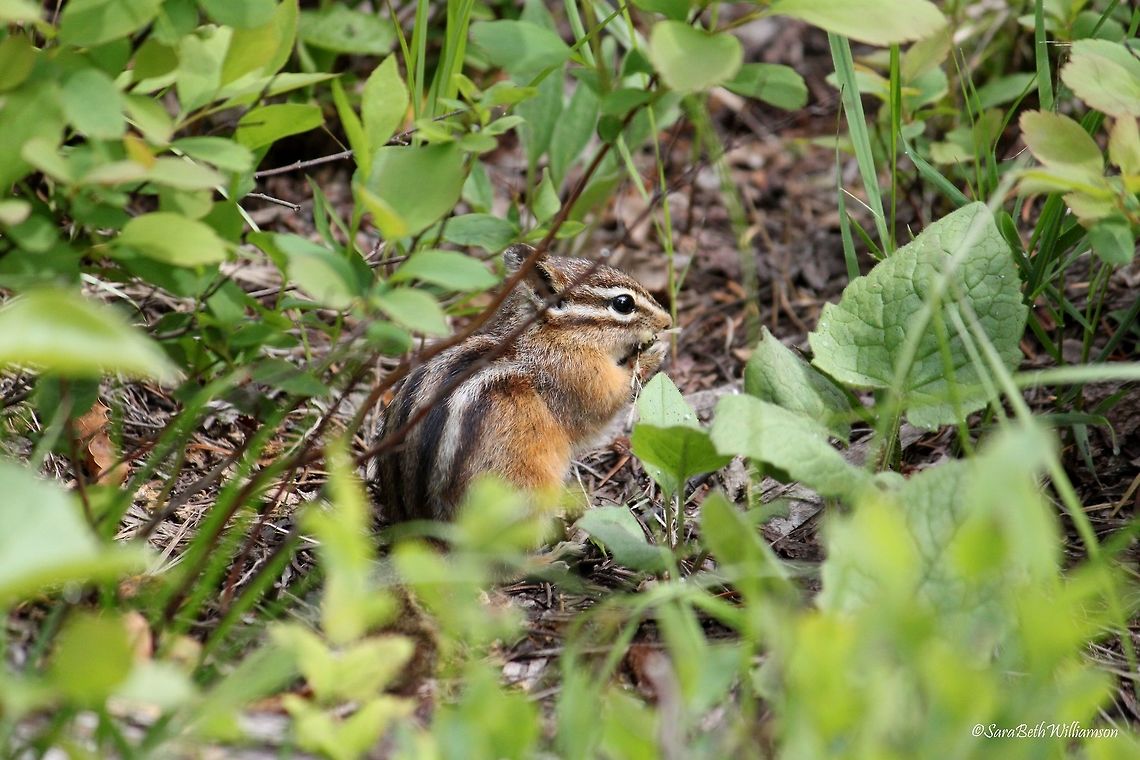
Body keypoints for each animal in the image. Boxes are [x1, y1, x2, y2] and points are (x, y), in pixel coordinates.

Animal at [374, 244, 672, 522]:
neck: (543, 336)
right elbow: (608, 403)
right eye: (623, 304)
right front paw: (653, 354)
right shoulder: (581, 379)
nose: (667, 320)